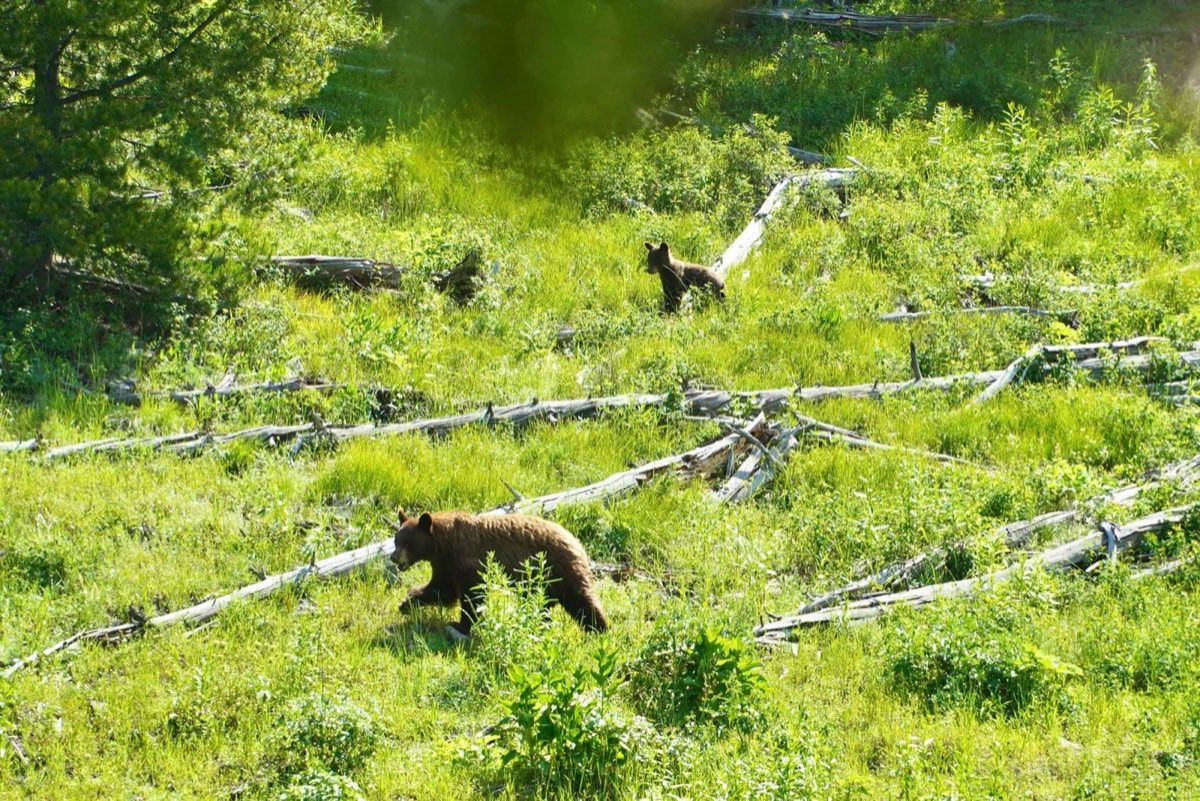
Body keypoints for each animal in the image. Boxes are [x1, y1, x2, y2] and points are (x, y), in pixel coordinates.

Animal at [389, 510, 609, 640]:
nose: (393, 557)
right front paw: (406, 602)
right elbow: (442, 589)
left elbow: (472, 595)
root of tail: (577, 542)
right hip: (544, 584)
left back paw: (601, 630)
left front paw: (460, 625)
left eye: (407, 542)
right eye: (396, 540)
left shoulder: (467, 561)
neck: (442, 544)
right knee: (542, 606)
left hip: (561, 570)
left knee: (581, 600)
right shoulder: (445, 564)